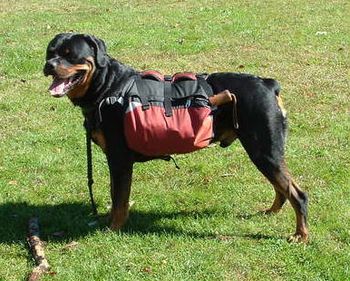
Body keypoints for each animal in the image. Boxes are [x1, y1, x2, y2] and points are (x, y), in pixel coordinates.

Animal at [43, 32, 308, 241]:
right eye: (50, 52)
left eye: (70, 54)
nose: (49, 65)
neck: (108, 87)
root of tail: (268, 84)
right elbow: (115, 194)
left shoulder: (120, 160)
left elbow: (119, 200)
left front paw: (113, 229)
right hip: (266, 152)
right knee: (282, 188)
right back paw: (271, 212)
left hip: (264, 149)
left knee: (297, 193)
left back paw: (300, 235)